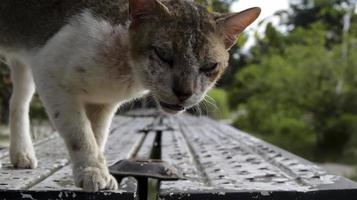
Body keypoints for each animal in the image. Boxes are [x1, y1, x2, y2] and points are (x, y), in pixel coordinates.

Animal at [0, 0, 258, 191]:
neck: (122, 68)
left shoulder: (103, 103)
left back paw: (21, 153)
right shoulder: (50, 75)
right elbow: (80, 133)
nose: (184, 92)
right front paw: (92, 171)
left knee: (18, 101)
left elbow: (97, 135)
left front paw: (97, 168)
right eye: (163, 54)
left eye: (209, 66)